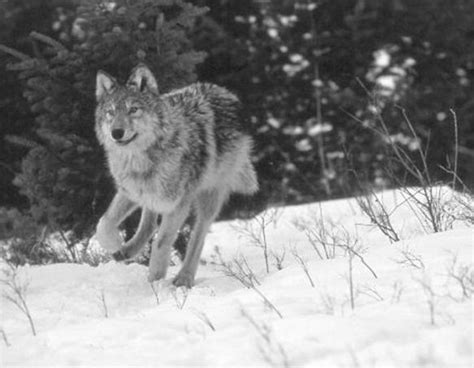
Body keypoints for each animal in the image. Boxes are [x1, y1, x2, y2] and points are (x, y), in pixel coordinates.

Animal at [95, 63, 260, 288]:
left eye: (133, 109)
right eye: (110, 112)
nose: (116, 133)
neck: (141, 162)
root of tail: (224, 92)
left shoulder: (178, 204)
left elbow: (161, 242)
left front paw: (156, 280)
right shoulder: (129, 192)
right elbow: (103, 224)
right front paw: (115, 244)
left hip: (207, 199)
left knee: (198, 237)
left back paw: (184, 278)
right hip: (154, 197)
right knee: (149, 224)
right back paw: (127, 250)